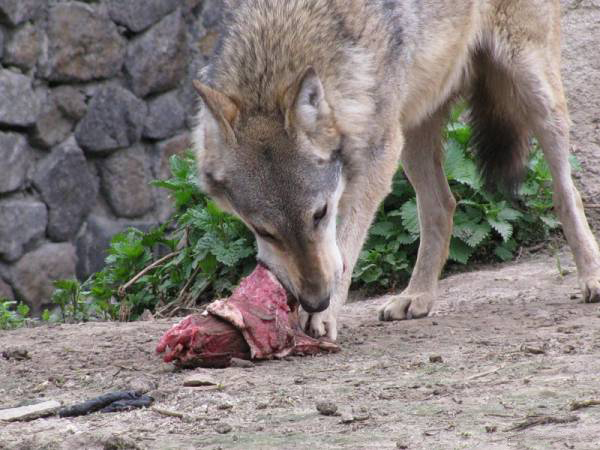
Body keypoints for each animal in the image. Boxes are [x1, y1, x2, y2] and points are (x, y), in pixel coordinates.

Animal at [191, 0, 600, 340]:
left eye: (320, 214)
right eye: (263, 231)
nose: (315, 300)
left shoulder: (377, 160)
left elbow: (344, 250)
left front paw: (325, 316)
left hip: (534, 90)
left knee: (566, 193)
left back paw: (592, 276)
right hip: (414, 131)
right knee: (442, 207)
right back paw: (416, 296)